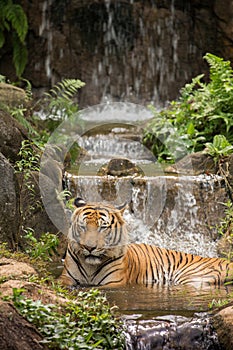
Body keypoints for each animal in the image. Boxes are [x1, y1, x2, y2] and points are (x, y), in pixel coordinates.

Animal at [59, 198, 233, 288]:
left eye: (103, 227)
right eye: (83, 226)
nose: (89, 247)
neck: (90, 266)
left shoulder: (113, 283)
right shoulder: (65, 277)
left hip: (192, 277)